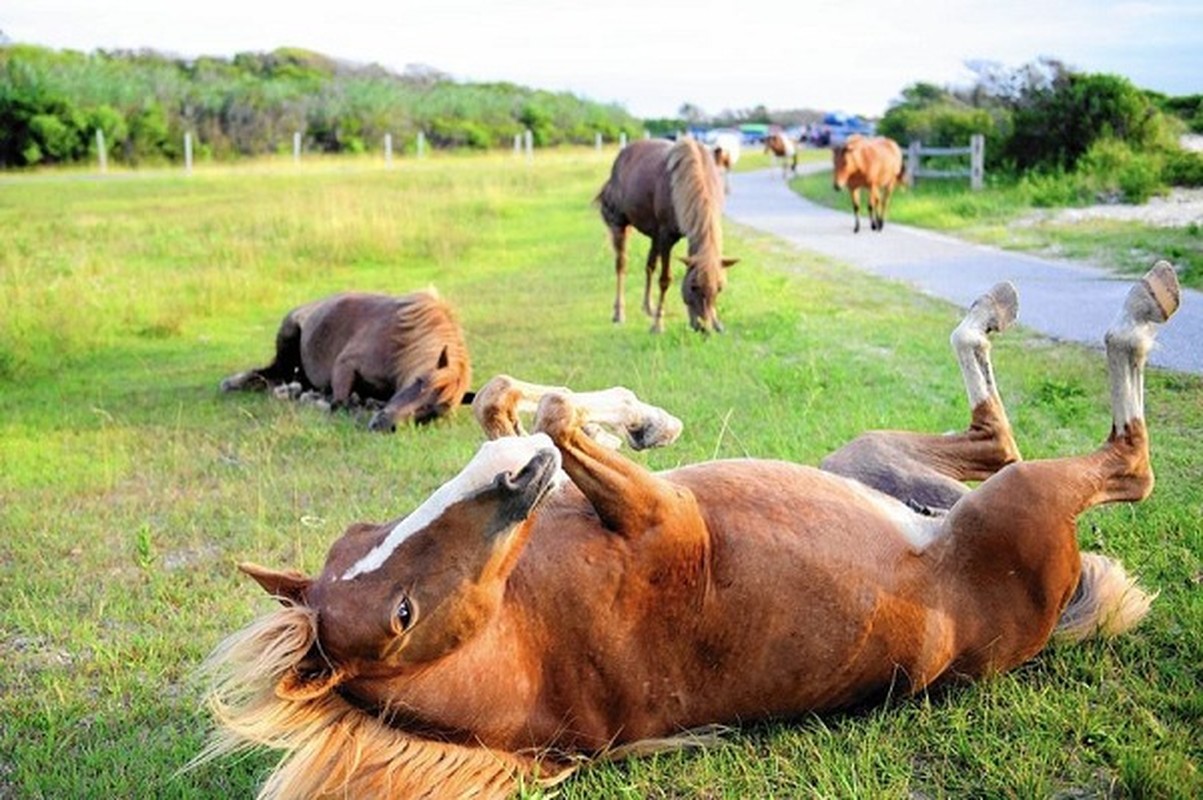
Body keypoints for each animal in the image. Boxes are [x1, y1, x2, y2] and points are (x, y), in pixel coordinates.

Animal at [221, 289, 469, 433]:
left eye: (433, 414)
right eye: (420, 381)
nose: (383, 425)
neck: (402, 343)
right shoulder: (345, 366)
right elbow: (341, 403)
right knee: (268, 375)